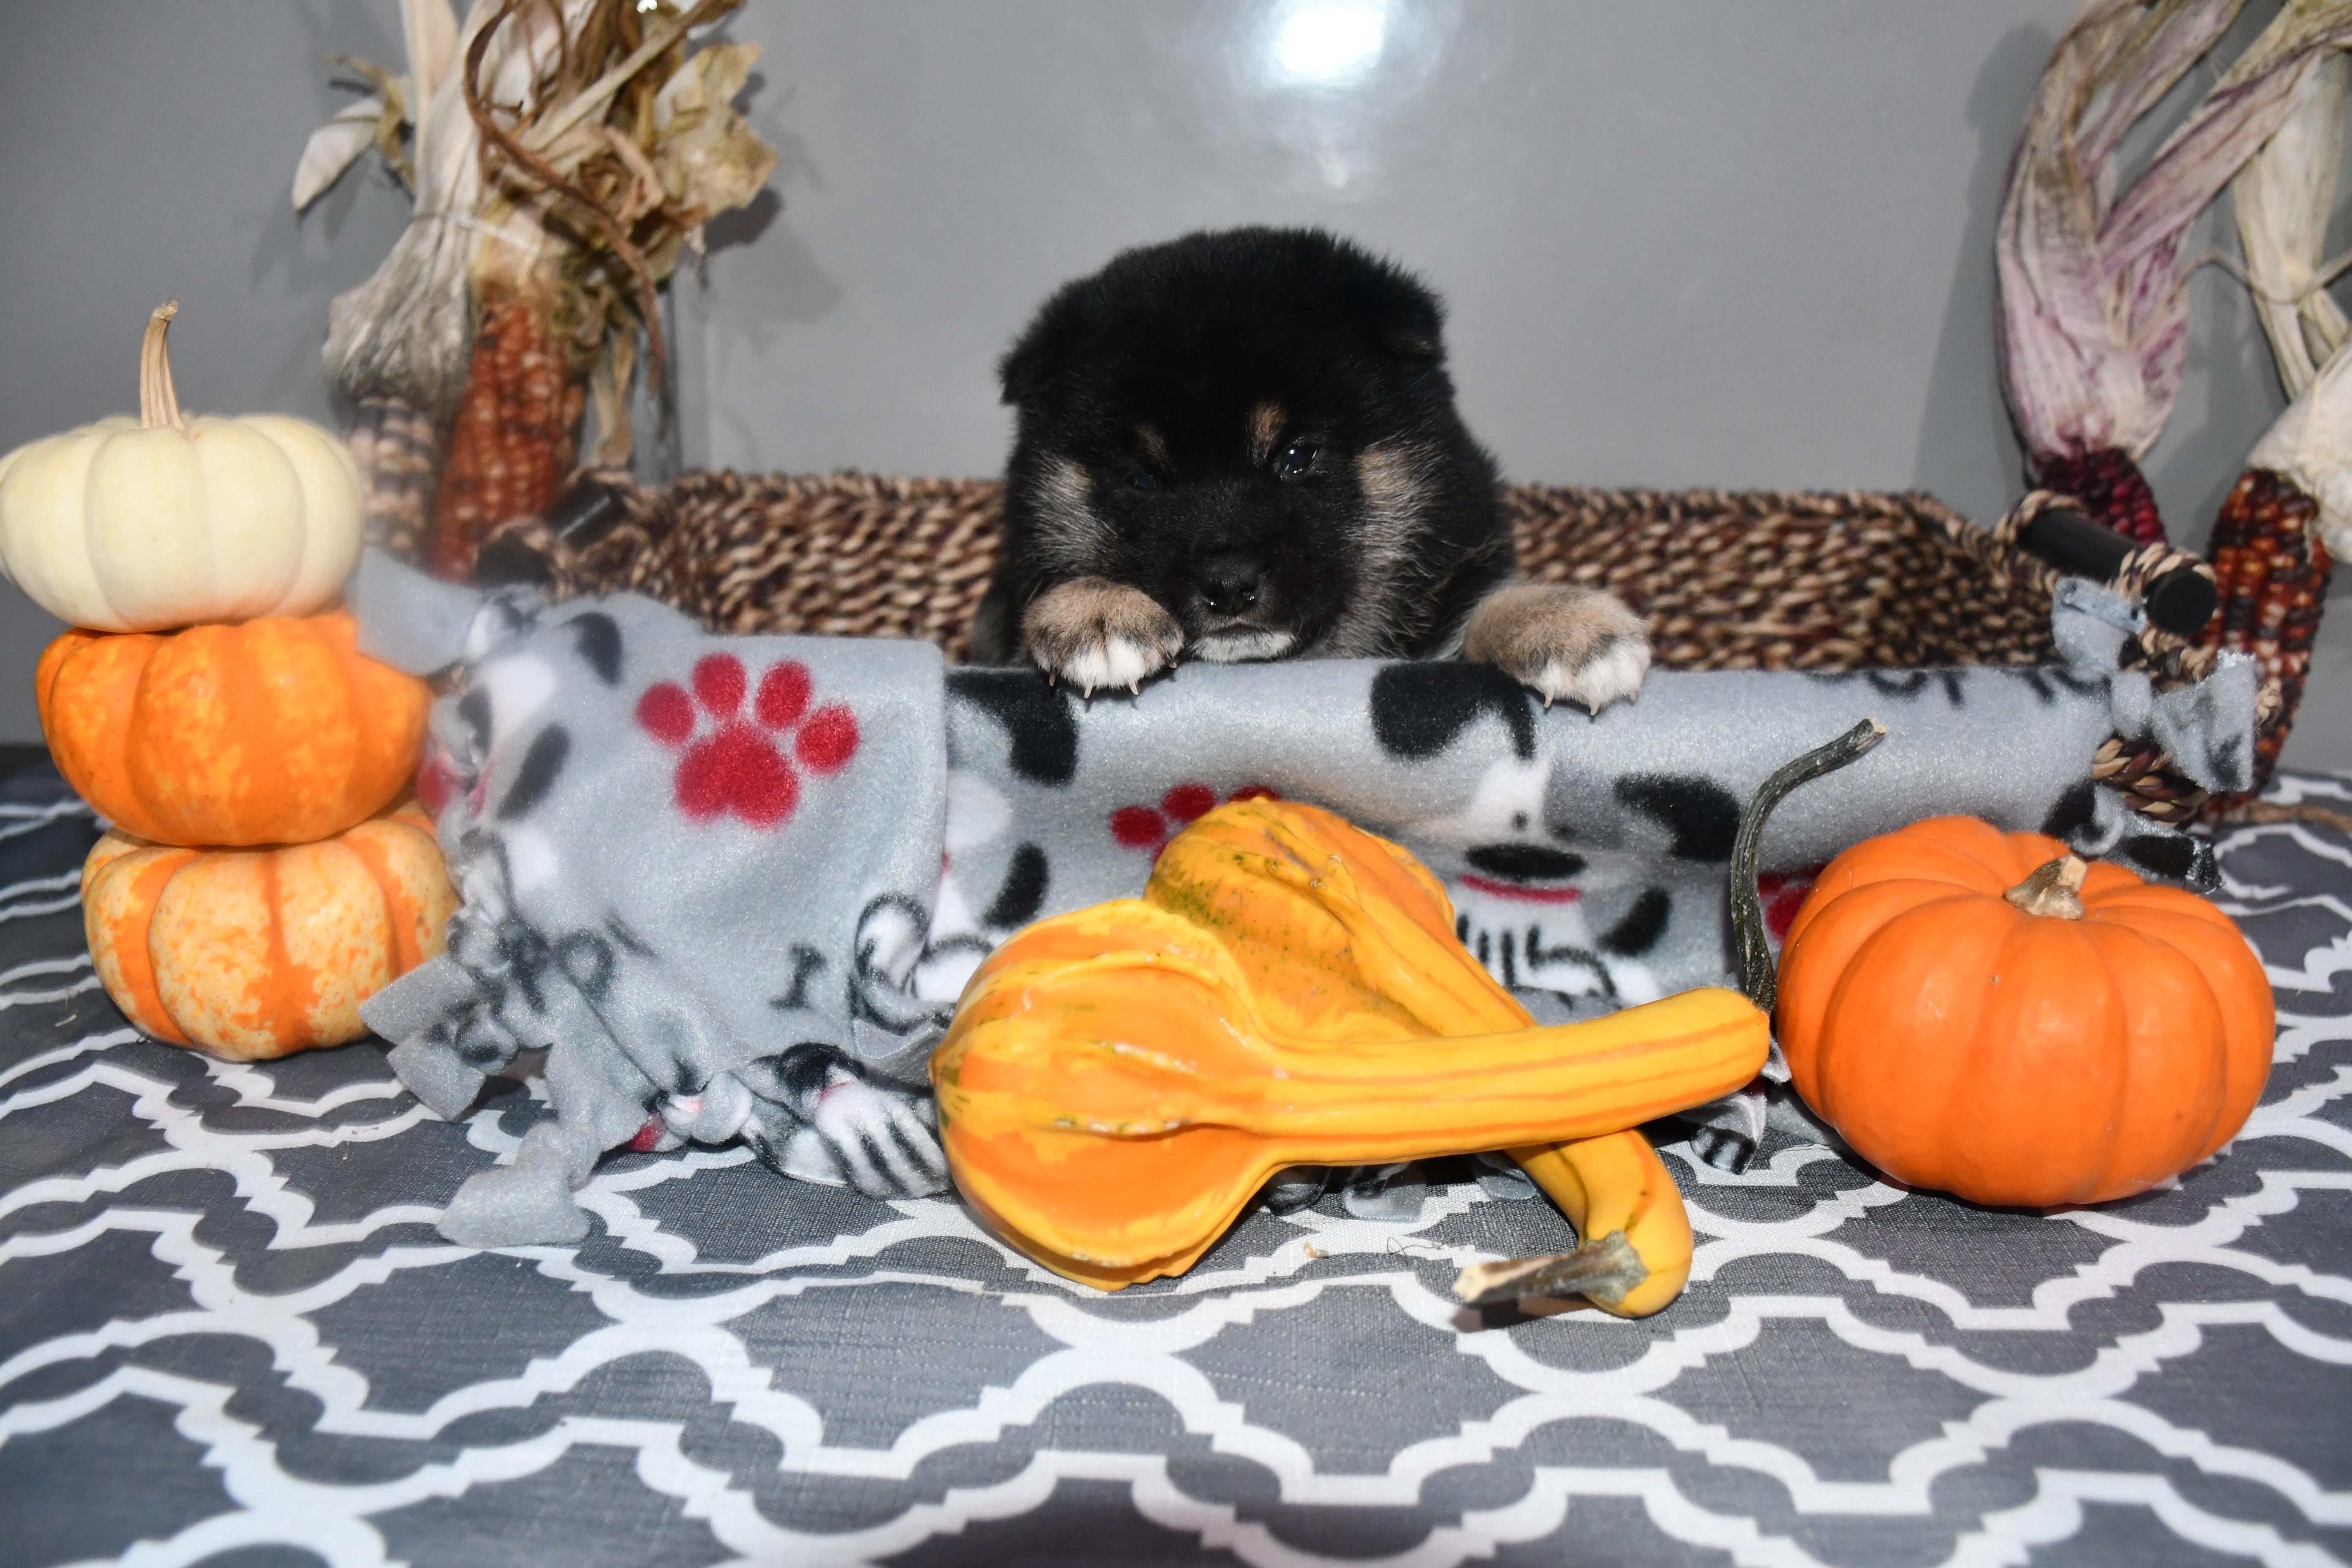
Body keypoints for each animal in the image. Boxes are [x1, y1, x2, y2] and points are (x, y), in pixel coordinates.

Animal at [969, 226, 1649, 709]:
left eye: (1297, 458)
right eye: (1142, 480)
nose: (1228, 585)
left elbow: (1479, 612)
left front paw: (1564, 622)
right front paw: (1098, 611)